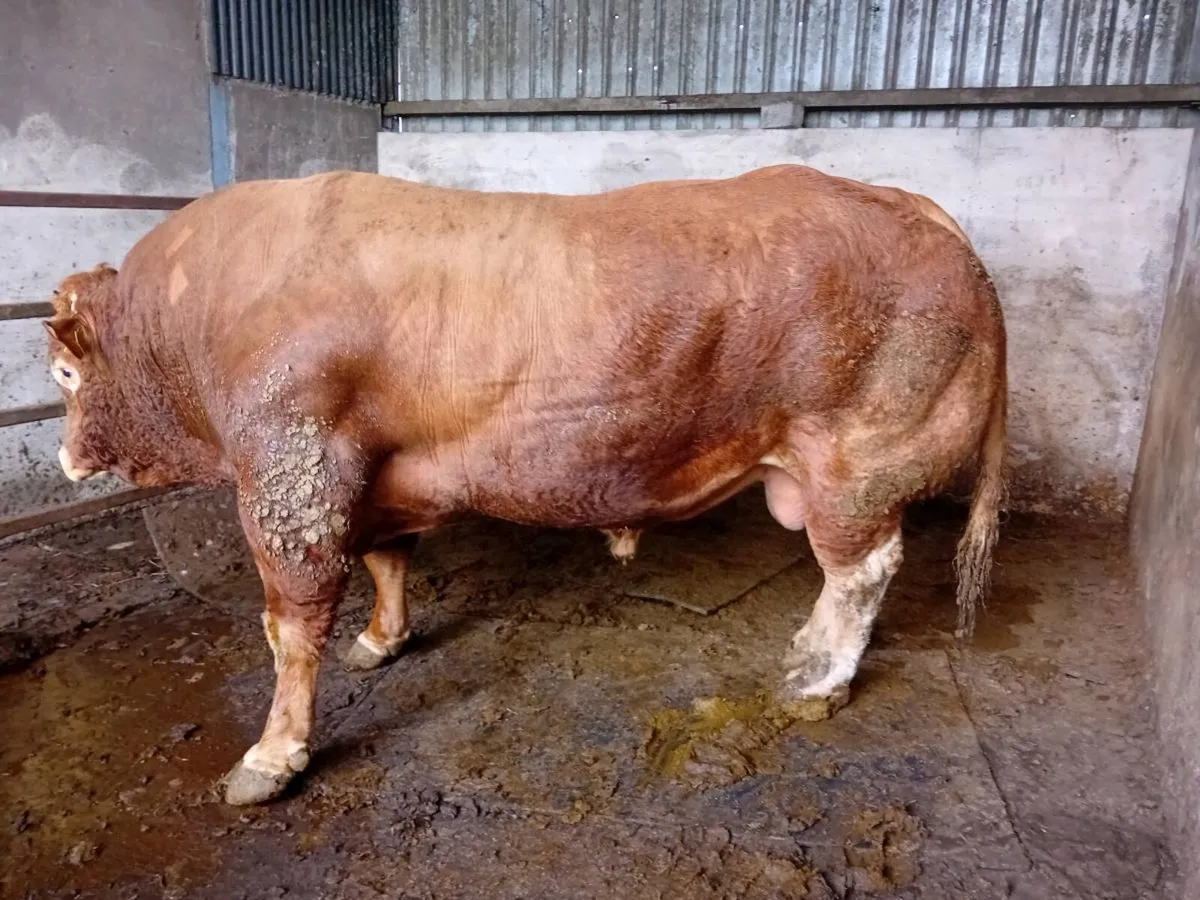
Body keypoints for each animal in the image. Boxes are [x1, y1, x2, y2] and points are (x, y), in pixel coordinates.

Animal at [43, 164, 1006, 805]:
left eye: (60, 373)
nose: (64, 458)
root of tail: (914, 205)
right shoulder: (379, 474)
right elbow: (389, 560)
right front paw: (382, 639)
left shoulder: (291, 473)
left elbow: (290, 626)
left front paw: (272, 757)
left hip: (858, 464)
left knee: (861, 572)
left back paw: (814, 678)